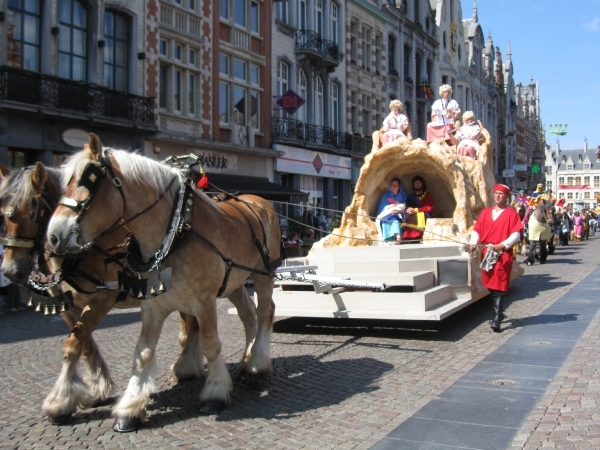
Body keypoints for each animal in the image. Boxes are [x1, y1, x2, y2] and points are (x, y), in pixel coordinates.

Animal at [0, 163, 209, 426]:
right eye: (2, 211)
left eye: (34, 211)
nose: (10, 270)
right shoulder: (68, 306)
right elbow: (83, 344)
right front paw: (98, 387)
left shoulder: (102, 299)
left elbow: (72, 347)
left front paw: (59, 402)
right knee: (188, 323)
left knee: (192, 324)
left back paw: (187, 365)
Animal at [46, 134, 282, 432]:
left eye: (88, 181)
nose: (53, 237)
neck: (175, 232)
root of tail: (260, 201)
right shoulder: (152, 306)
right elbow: (143, 352)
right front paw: (130, 408)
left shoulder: (204, 302)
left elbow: (210, 344)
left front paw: (215, 392)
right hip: (235, 282)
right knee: (248, 314)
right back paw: (248, 360)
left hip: (263, 275)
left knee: (265, 312)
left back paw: (257, 364)